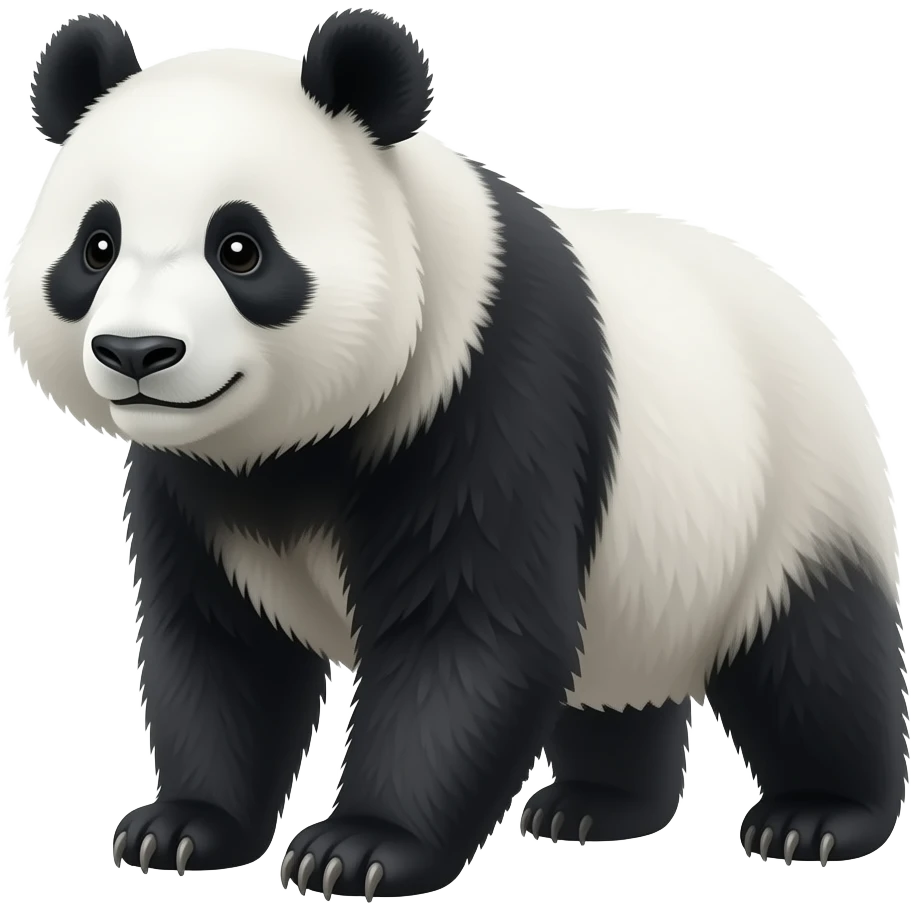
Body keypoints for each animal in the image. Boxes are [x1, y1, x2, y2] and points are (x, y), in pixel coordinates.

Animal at [6, 8, 906, 900]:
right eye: (96, 245)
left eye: (240, 248)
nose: (136, 351)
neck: (284, 448)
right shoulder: (188, 475)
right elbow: (220, 645)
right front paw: (182, 826)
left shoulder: (482, 399)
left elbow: (465, 631)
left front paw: (358, 848)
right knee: (613, 679)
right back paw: (594, 804)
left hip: (796, 489)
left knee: (814, 655)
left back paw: (816, 816)